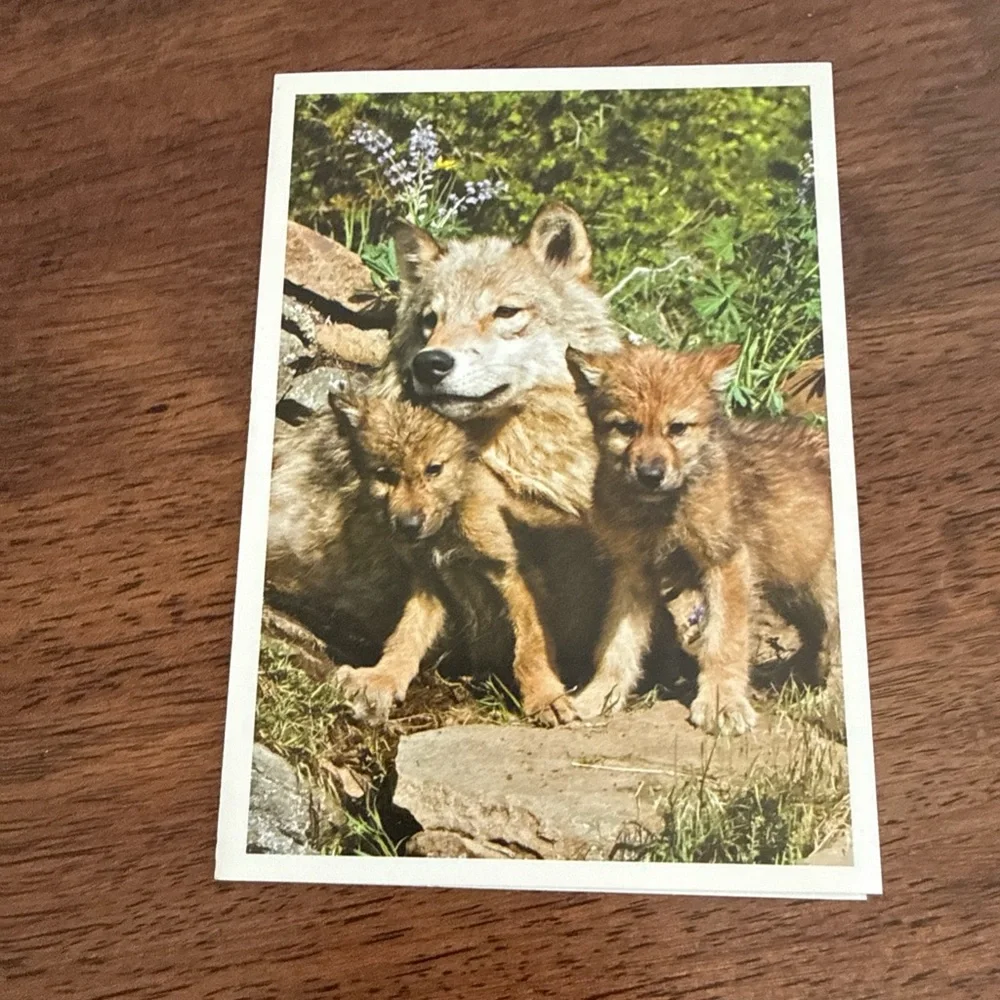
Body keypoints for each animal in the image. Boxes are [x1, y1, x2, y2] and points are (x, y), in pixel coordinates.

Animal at [566, 342, 839, 734]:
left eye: (677, 428)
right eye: (626, 427)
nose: (650, 474)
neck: (663, 512)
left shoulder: (725, 563)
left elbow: (723, 642)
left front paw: (722, 704)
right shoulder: (633, 571)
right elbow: (616, 645)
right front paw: (601, 695)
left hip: (820, 590)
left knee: (834, 640)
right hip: (794, 589)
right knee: (817, 638)